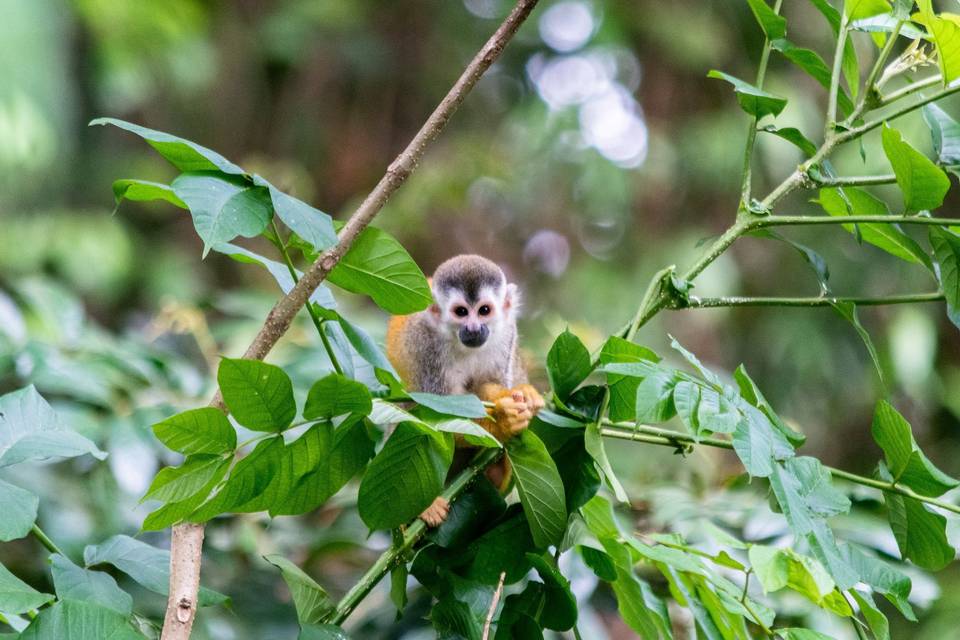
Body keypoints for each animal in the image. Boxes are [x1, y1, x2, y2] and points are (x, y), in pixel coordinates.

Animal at [386, 254, 544, 524]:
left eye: (484, 310)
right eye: (461, 312)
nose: (473, 328)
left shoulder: (507, 332)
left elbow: (489, 383)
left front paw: (514, 401)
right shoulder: (426, 347)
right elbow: (438, 418)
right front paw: (505, 421)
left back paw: (495, 470)